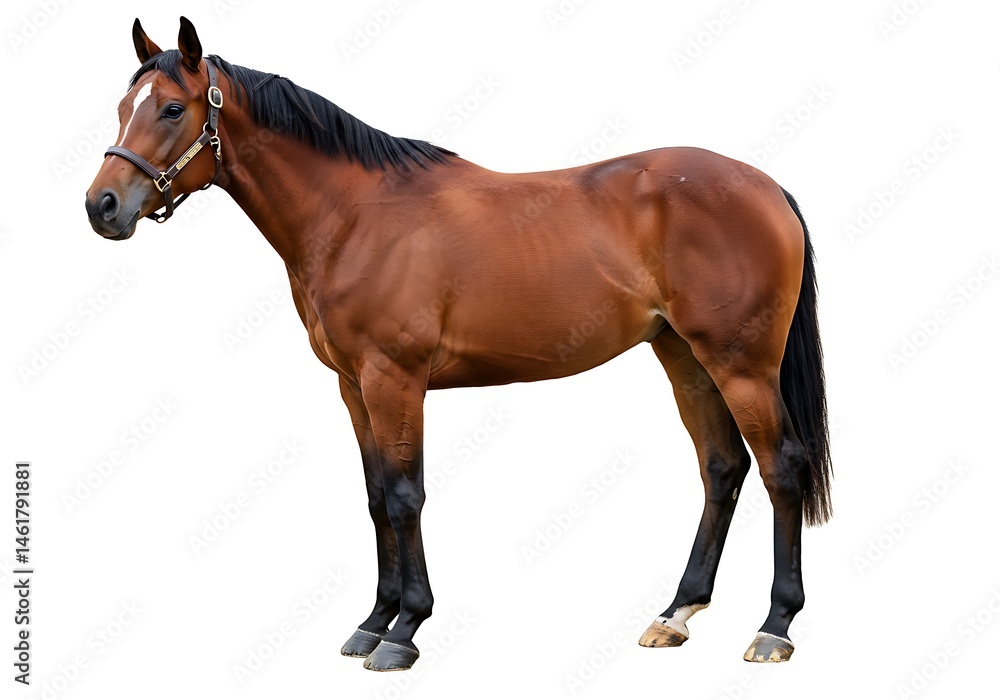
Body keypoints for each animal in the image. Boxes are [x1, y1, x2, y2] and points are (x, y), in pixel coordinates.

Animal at [85, 17, 832, 671]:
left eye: (173, 109)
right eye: (124, 106)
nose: (102, 207)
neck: (352, 216)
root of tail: (766, 186)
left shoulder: (395, 379)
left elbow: (405, 496)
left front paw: (404, 631)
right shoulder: (353, 385)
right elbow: (375, 497)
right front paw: (372, 622)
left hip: (741, 364)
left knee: (781, 468)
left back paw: (774, 627)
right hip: (685, 358)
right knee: (721, 469)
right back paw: (675, 614)